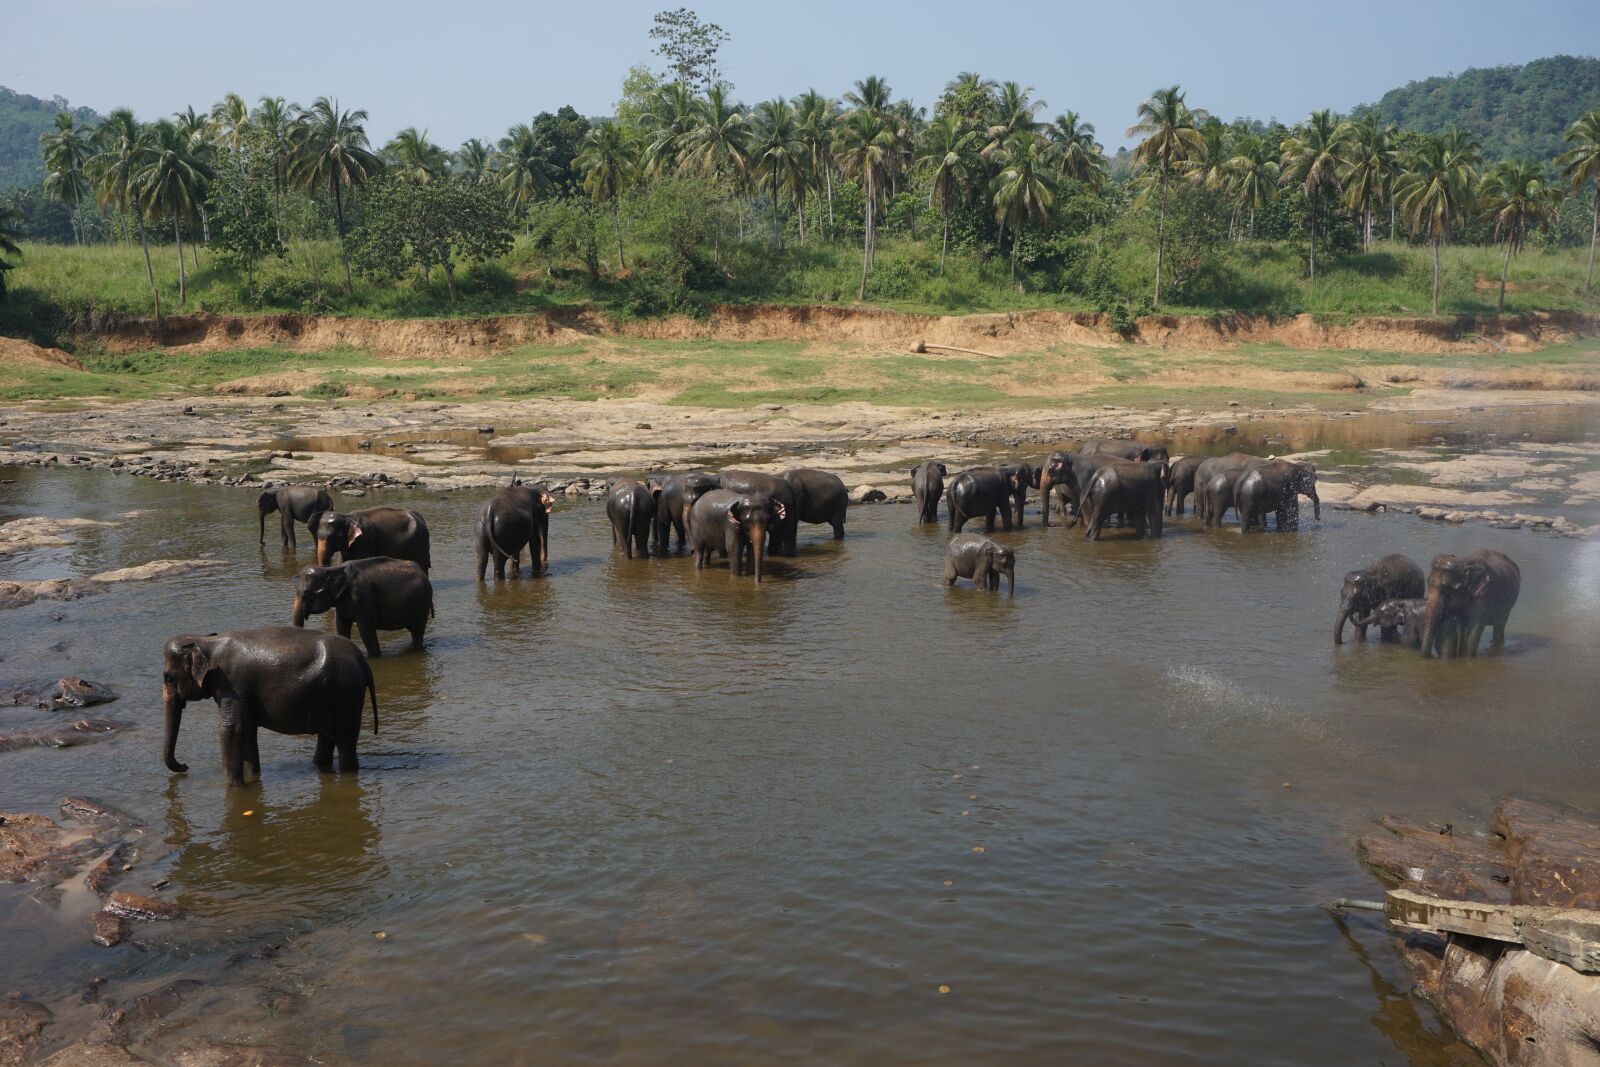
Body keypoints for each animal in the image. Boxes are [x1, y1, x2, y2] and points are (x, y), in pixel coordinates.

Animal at [161, 627, 377, 787]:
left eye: (168, 677)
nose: (185, 765)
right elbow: (247, 729)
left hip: (345, 694)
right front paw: (252, 778)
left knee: (345, 743)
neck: (206, 641)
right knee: (327, 738)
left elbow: (231, 730)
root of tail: (363, 662)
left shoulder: (233, 685)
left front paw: (235, 788)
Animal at [292, 557, 434, 656]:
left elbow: (366, 630)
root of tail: (423, 573)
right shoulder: (342, 602)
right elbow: (342, 627)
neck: (333, 569)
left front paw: (373, 658)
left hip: (423, 601)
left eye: (309, 594)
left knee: (417, 631)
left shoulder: (363, 595)